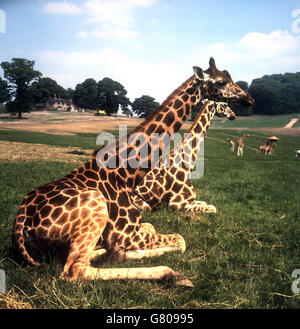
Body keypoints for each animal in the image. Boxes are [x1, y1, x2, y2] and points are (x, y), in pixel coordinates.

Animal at [12, 57, 254, 286]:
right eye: (221, 82)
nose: (249, 99)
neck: (126, 174)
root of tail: (21, 220)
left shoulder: (139, 226)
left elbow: (156, 228)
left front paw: (120, 251)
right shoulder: (131, 229)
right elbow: (181, 239)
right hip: (96, 208)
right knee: (76, 269)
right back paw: (171, 274)